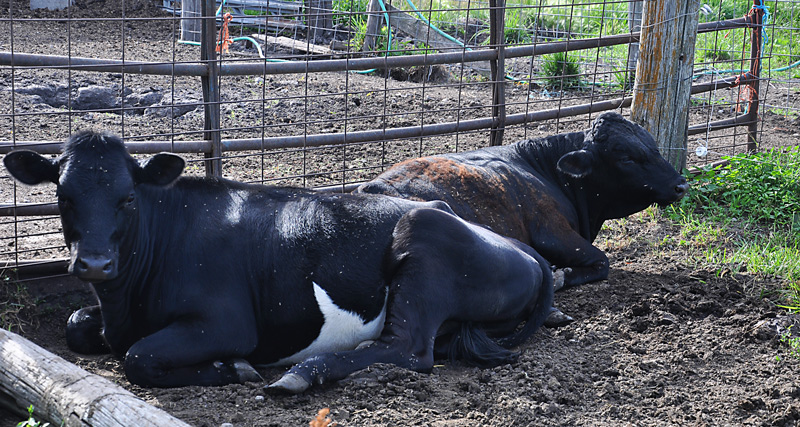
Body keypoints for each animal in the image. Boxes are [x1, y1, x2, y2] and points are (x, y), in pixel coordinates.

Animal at [3, 130, 554, 393]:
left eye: (127, 199)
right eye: (63, 197)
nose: (94, 264)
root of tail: (523, 250)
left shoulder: (226, 323)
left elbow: (138, 357)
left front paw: (230, 369)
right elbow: (77, 324)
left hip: (422, 242)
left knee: (409, 350)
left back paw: (304, 372)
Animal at [357, 112, 689, 290]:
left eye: (653, 145)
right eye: (626, 158)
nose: (681, 184)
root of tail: (371, 188)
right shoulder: (554, 231)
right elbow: (602, 261)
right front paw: (560, 275)